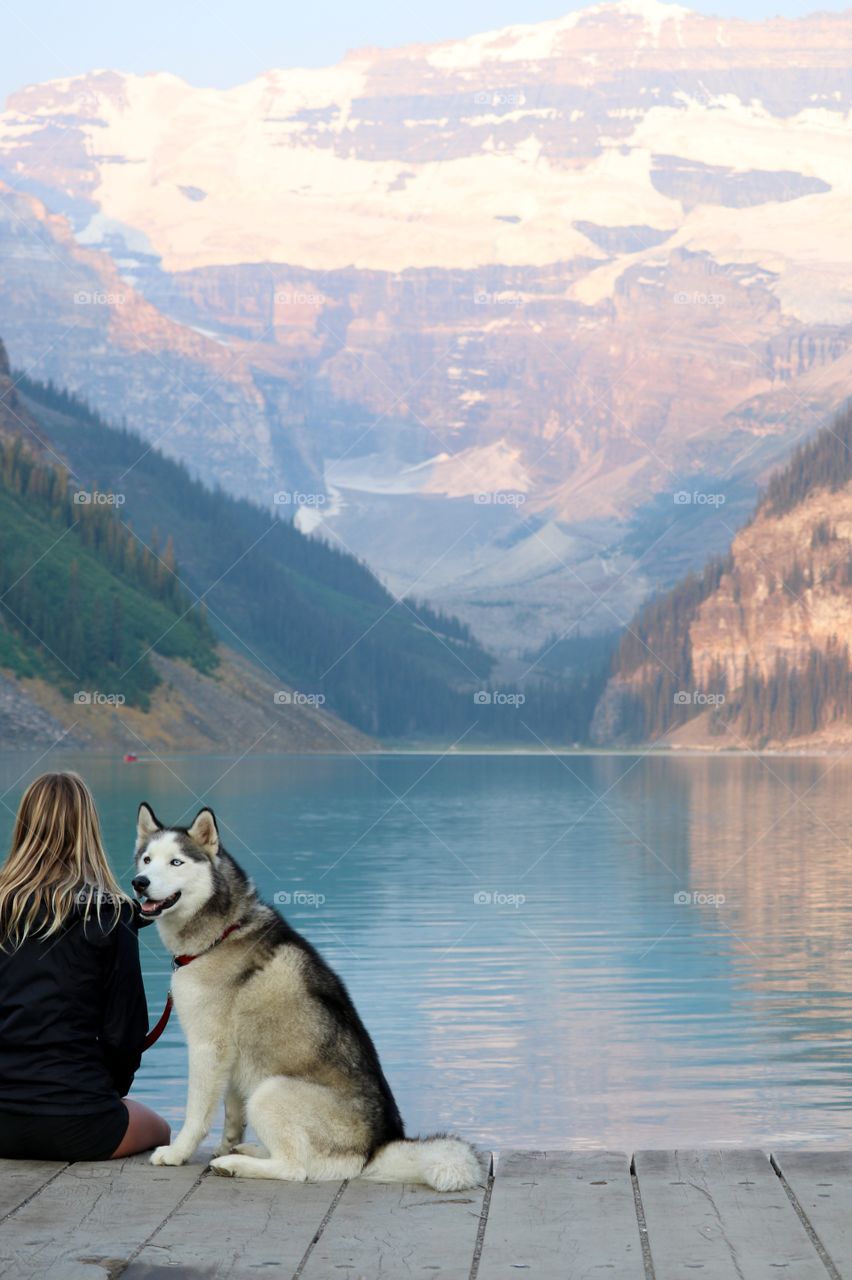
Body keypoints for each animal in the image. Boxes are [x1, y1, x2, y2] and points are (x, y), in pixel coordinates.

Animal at [131, 798, 478, 1187]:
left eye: (176, 862)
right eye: (147, 859)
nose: (139, 883)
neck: (221, 933)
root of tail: (374, 1150)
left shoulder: (208, 1047)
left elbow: (196, 1113)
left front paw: (178, 1153)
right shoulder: (234, 1057)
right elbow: (232, 1115)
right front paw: (225, 1145)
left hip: (270, 1090)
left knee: (295, 1168)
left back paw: (237, 1165)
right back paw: (247, 1152)